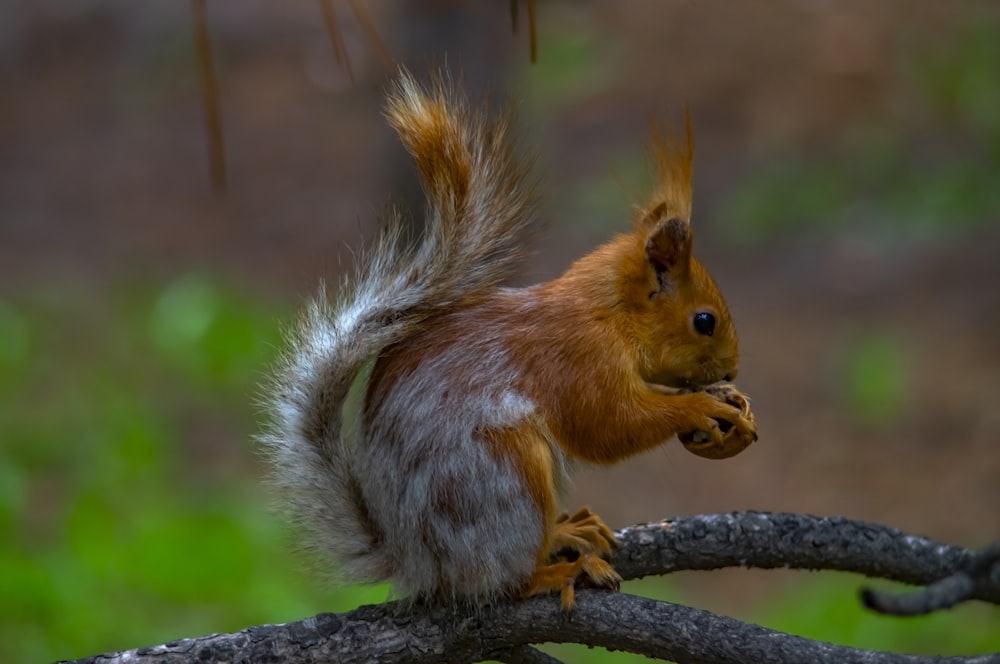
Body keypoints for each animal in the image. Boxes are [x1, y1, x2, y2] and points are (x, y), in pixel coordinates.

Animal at [260, 71, 756, 612]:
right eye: (704, 320)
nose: (730, 370)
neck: (609, 315)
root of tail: (416, 561)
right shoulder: (579, 359)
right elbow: (607, 426)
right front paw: (697, 407)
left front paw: (724, 397)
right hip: (502, 477)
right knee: (497, 583)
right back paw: (557, 572)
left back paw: (566, 534)